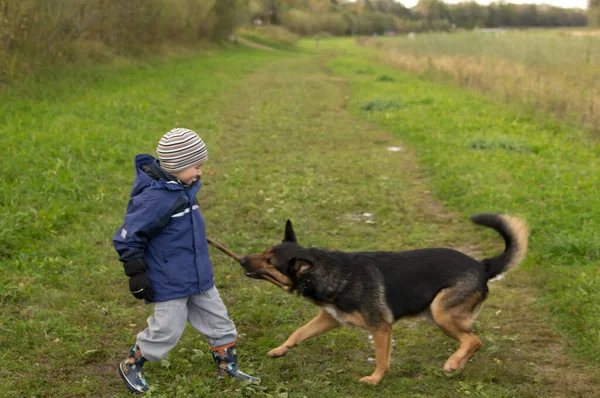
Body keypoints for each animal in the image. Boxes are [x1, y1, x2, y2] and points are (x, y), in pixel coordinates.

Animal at [237, 213, 528, 384]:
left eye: (270, 262)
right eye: (264, 253)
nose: (240, 259)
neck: (327, 271)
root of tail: (482, 265)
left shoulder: (380, 328)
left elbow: (381, 359)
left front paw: (375, 380)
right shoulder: (329, 319)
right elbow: (298, 333)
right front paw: (279, 350)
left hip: (440, 312)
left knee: (474, 340)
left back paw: (453, 362)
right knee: (471, 341)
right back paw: (457, 365)